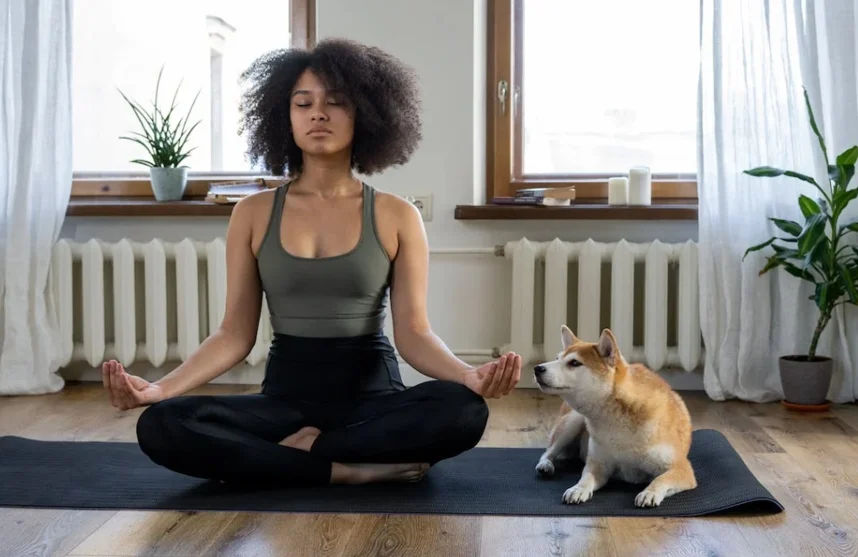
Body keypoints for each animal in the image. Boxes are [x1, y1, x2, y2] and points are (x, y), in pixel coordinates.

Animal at [532, 324, 700, 506]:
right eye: (557, 358)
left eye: (574, 363)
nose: (537, 368)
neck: (616, 418)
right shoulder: (598, 465)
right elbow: (585, 478)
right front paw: (577, 489)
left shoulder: (681, 468)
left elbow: (660, 479)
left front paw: (649, 492)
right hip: (573, 421)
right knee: (548, 451)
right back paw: (546, 465)